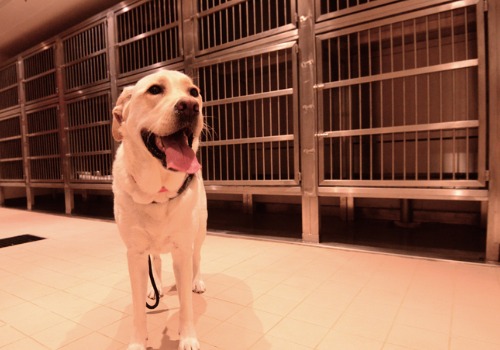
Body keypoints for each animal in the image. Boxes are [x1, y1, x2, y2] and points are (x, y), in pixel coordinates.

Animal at [112, 69, 207, 348]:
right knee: (156, 261)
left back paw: (197, 281)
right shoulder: (135, 254)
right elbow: (137, 309)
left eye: (194, 92)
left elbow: (186, 305)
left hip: (199, 232)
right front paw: (137, 341)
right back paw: (157, 289)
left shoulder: (182, 250)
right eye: (155, 90)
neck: (158, 193)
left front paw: (187, 337)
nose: (190, 106)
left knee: (198, 258)